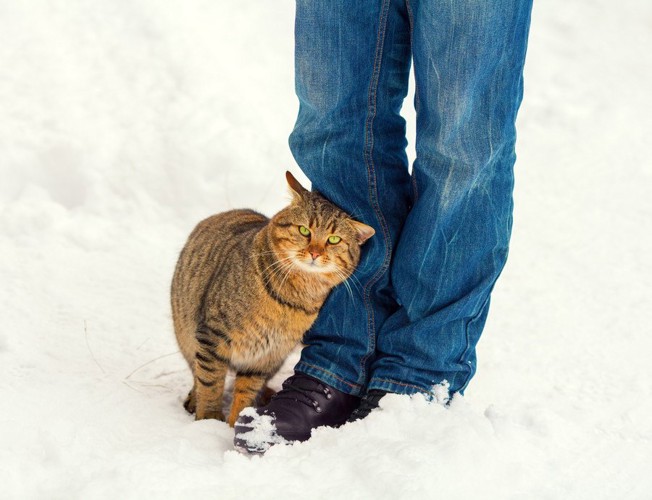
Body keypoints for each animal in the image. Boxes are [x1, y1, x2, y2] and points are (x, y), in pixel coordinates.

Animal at [169, 171, 372, 426]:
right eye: (304, 231)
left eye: (333, 240)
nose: (315, 253)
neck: (292, 298)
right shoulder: (212, 335)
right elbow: (210, 382)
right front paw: (208, 419)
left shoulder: (265, 356)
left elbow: (246, 391)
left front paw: (238, 421)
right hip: (188, 335)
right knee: (198, 373)